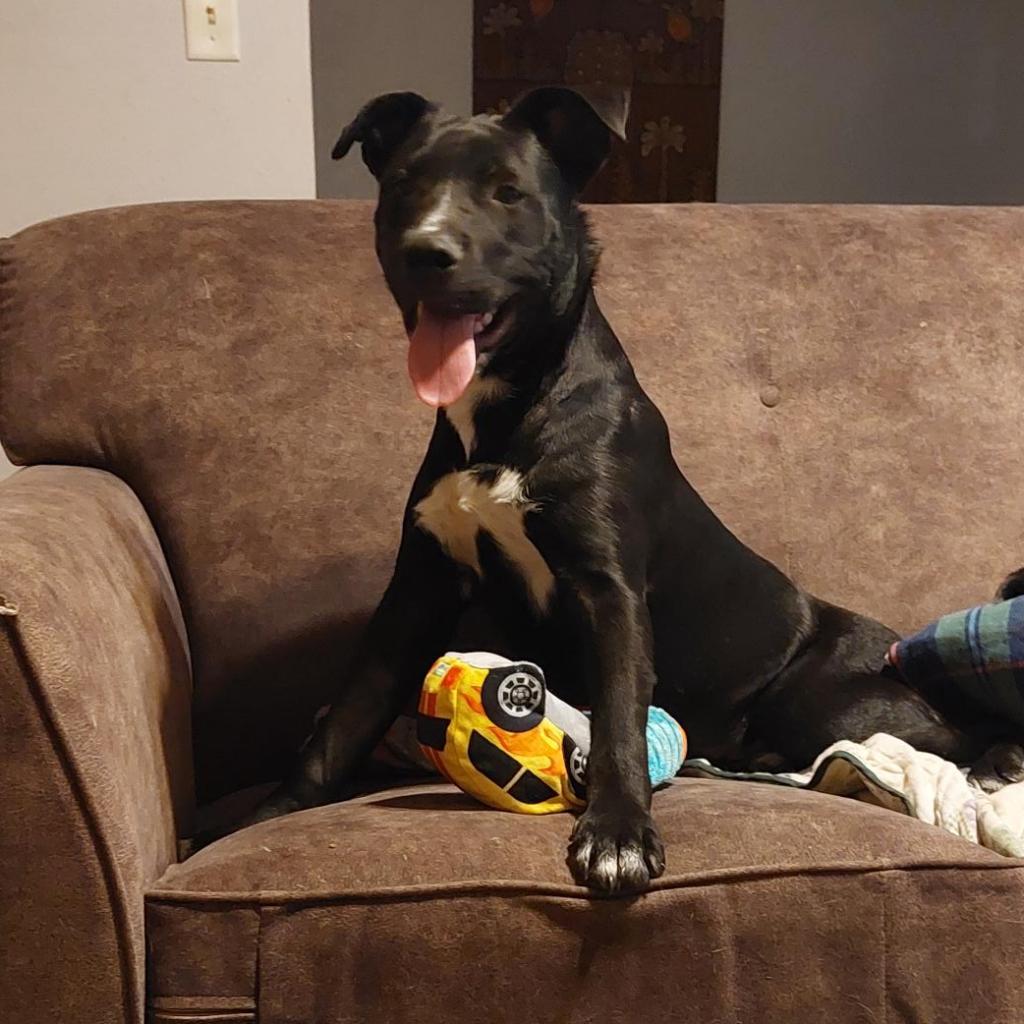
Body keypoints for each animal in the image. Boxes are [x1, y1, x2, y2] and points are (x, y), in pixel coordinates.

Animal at [247, 86, 1024, 888]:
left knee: (953, 737)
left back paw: (995, 758)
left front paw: (617, 835)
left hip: (828, 705)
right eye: (403, 184)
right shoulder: (418, 590)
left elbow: (619, 714)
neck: (510, 407)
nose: (425, 252)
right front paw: (271, 816)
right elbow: (346, 714)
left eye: (508, 192)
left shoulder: (609, 589)